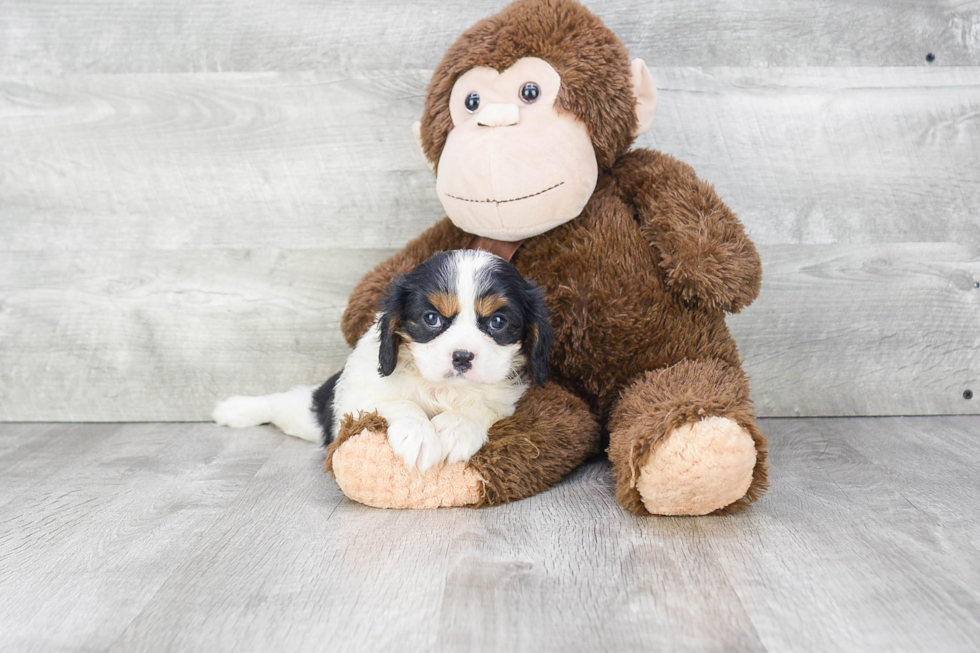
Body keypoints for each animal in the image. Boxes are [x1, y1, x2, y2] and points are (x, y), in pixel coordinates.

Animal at [213, 248, 552, 468]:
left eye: (498, 322)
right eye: (431, 319)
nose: (462, 357)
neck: (442, 388)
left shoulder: (503, 399)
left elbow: (479, 407)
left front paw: (455, 429)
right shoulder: (356, 397)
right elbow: (396, 403)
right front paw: (419, 437)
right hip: (310, 411)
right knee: (282, 403)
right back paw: (234, 409)